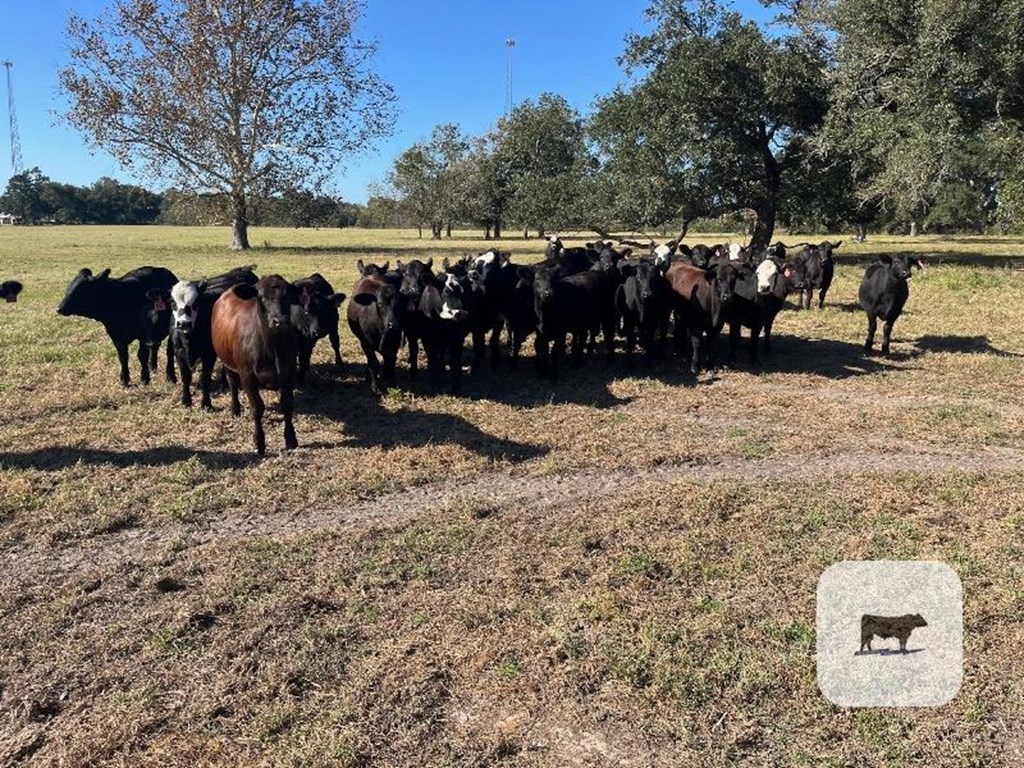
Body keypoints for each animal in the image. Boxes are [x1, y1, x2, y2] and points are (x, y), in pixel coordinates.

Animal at [211, 276, 299, 456]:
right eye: (261, 298)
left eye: (288, 296)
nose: (280, 321)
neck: (273, 348)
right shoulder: (248, 376)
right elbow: (257, 408)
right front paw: (259, 442)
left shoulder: (289, 373)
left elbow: (287, 405)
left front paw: (291, 438)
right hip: (227, 362)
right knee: (232, 384)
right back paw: (235, 409)